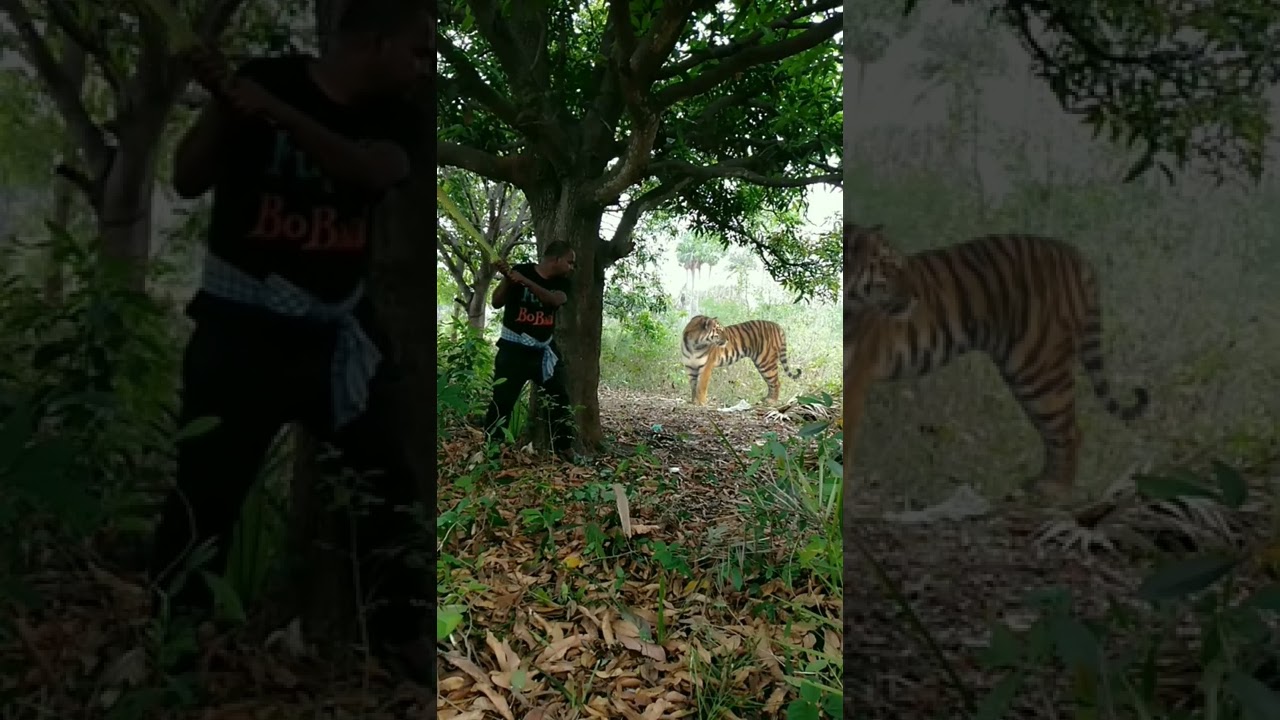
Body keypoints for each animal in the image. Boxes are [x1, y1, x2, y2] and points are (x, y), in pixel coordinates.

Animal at [842, 222, 1149, 503]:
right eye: (888, 265)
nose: (918, 295)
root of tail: (1072, 252)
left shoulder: (854, 378)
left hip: (1038, 366)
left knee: (1070, 431)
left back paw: (1054, 489)